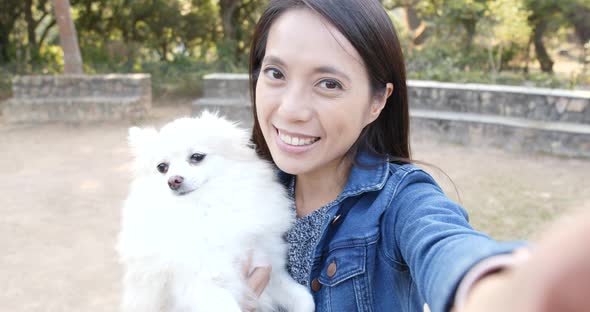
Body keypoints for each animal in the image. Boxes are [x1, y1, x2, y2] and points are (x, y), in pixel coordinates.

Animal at [117, 112, 316, 312]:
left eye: (197, 157)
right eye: (162, 167)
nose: (173, 180)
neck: (206, 209)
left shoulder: (269, 269)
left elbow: (305, 298)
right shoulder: (202, 286)